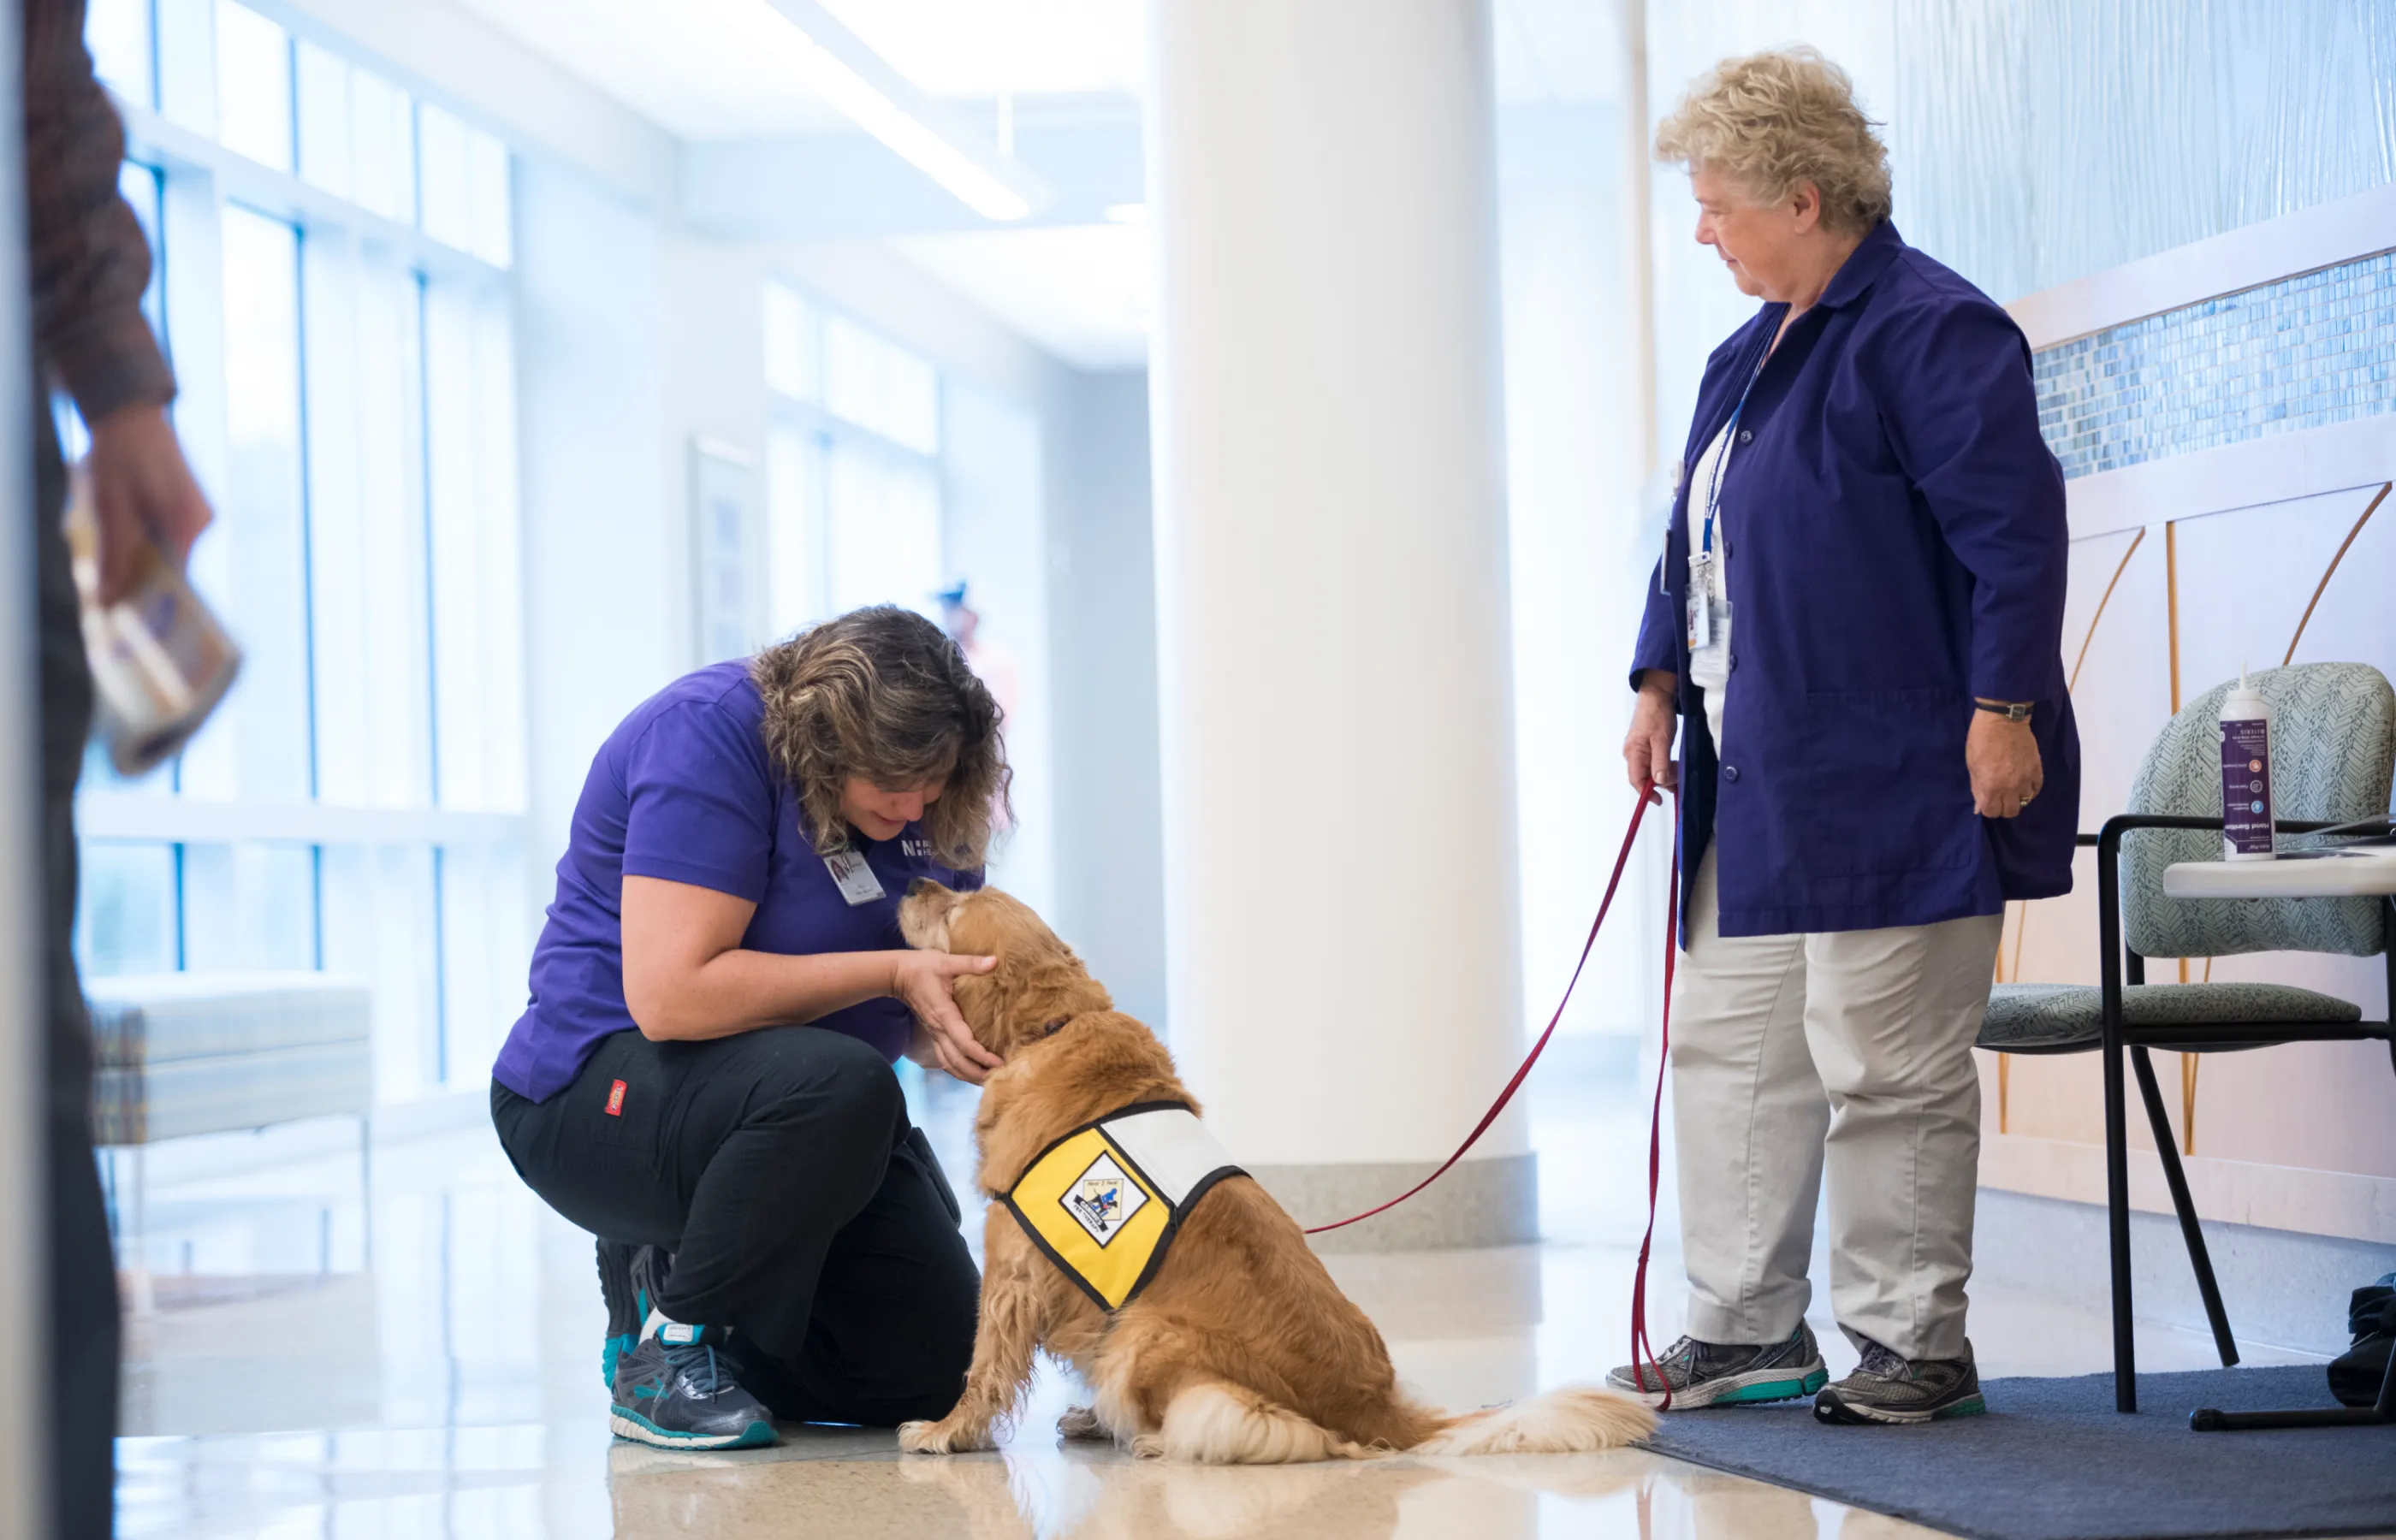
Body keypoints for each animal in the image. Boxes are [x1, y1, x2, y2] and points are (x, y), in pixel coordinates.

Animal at [891, 886, 1658, 1466]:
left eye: (954, 908)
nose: (913, 881)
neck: (1053, 1026)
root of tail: (1377, 1408)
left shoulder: (1010, 1269)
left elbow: (983, 1366)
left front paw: (945, 1431)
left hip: (1144, 1331)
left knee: (1279, 1432)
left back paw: (1154, 1440)